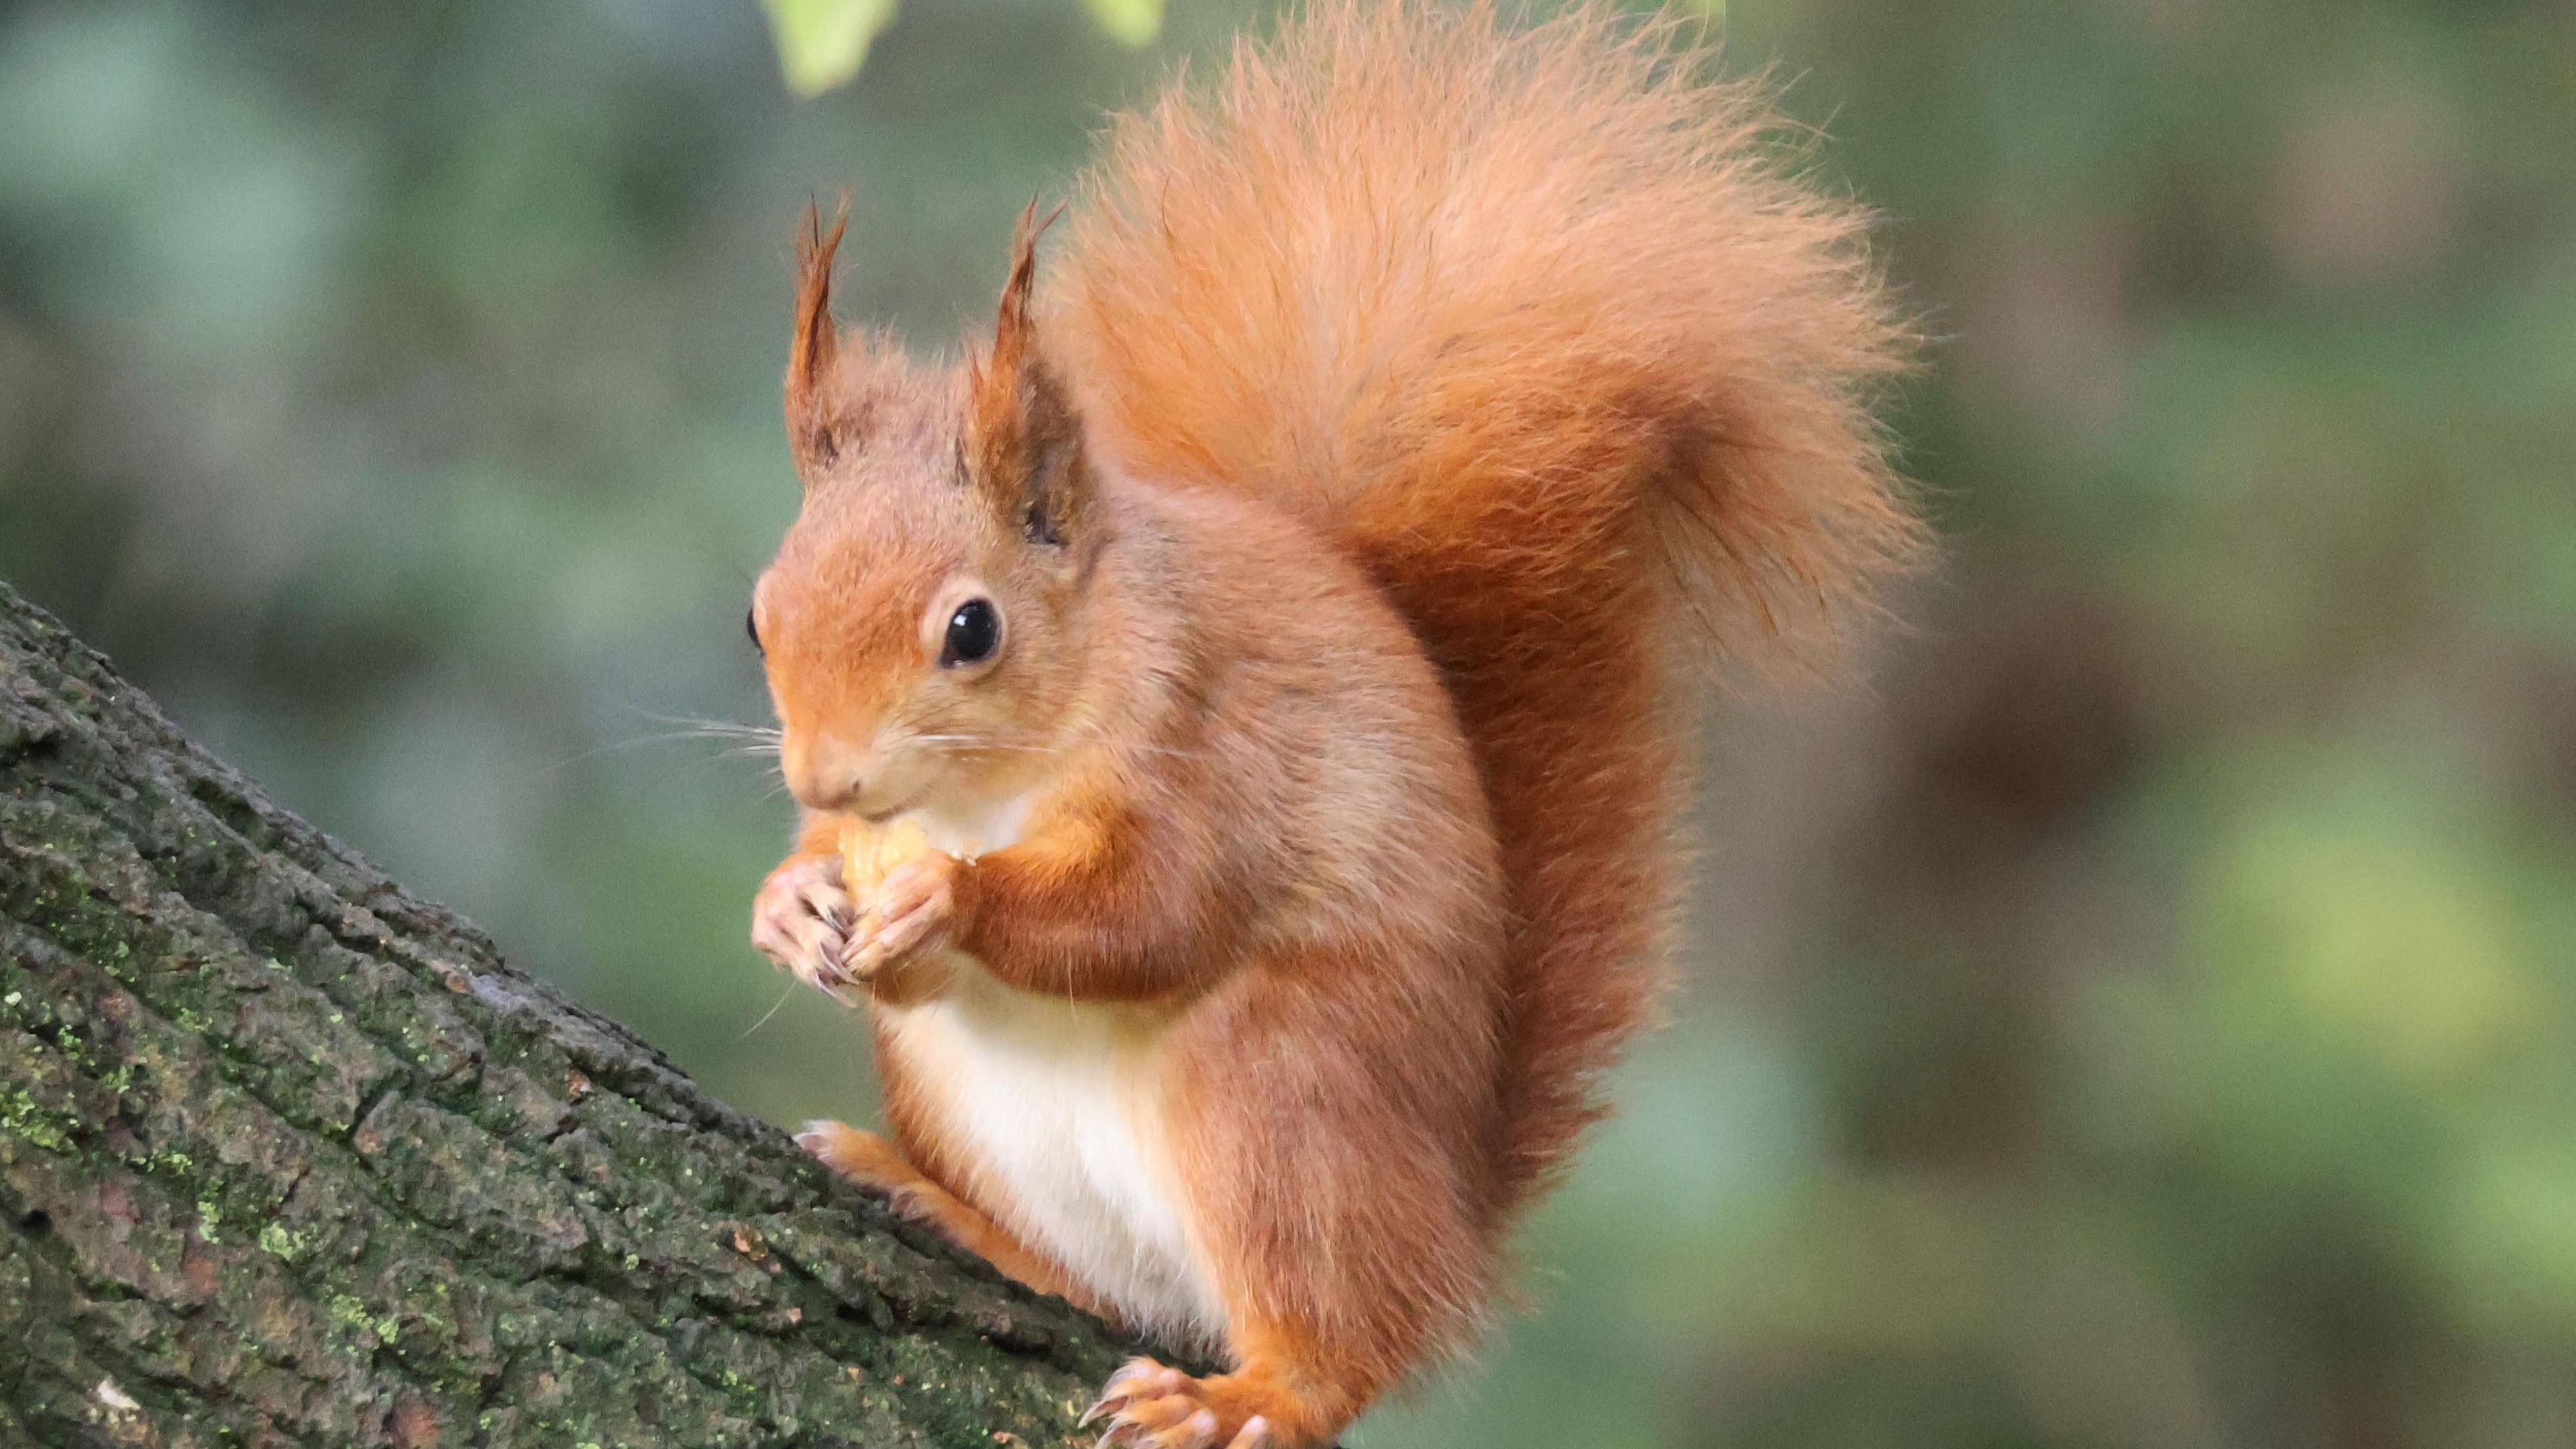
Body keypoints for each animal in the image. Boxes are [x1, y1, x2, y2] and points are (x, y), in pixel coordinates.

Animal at [744, 4, 1919, 1446]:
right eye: (759, 619)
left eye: (973, 629)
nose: (828, 778)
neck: (985, 789)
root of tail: (1450, 1224)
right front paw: (793, 902)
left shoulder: (1211, 745)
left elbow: (1156, 909)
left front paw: (947, 902)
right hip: (969, 1098)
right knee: (1102, 1285)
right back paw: (930, 1200)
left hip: (1281, 1105)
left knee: (1338, 1345)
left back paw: (1244, 1398)